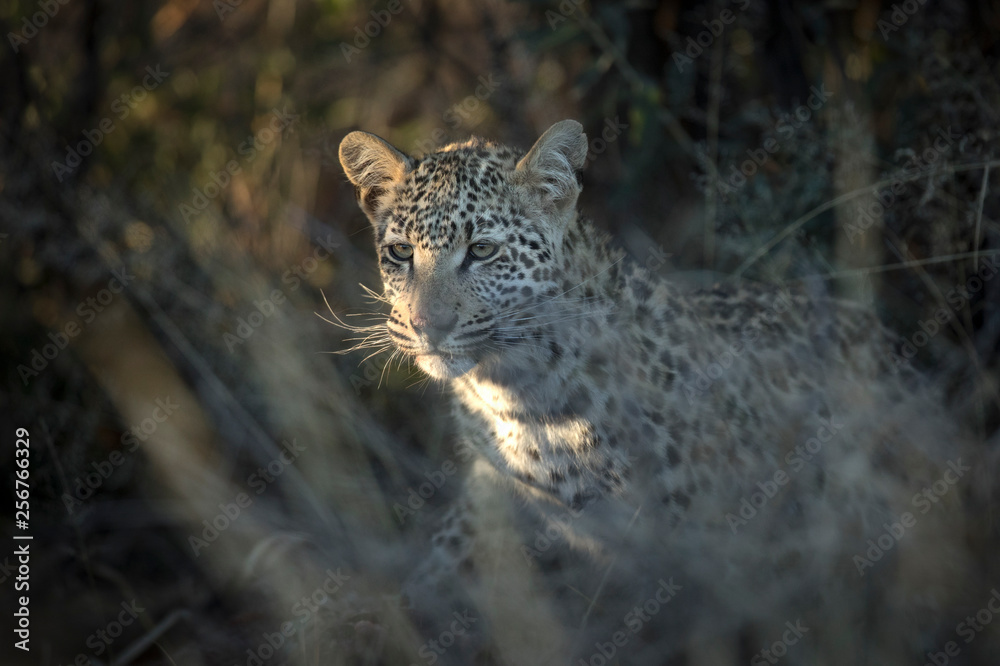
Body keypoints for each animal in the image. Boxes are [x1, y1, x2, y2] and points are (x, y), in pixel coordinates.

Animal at [338, 120, 987, 665]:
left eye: (482, 251)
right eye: (399, 253)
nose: (426, 326)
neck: (515, 397)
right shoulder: (487, 500)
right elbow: (435, 576)